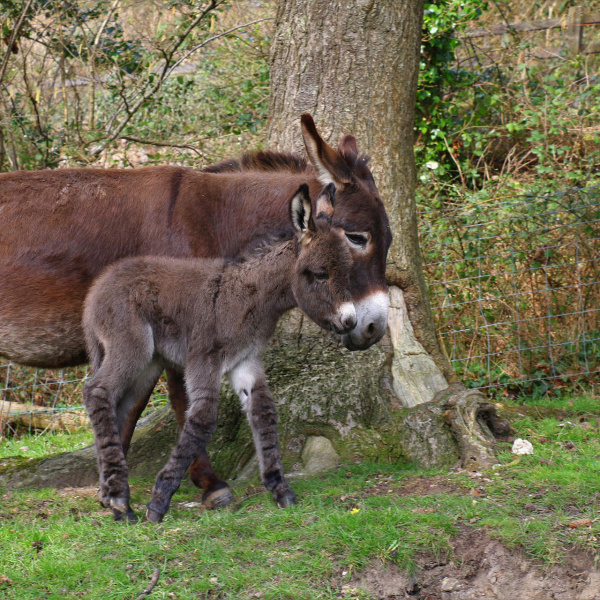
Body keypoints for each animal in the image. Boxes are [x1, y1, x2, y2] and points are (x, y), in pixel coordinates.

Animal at [83, 184, 356, 524]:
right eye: (319, 275)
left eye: (348, 271)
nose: (351, 321)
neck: (251, 298)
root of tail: (98, 288)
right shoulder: (204, 359)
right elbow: (201, 419)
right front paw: (159, 501)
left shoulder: (246, 361)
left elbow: (264, 414)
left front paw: (280, 490)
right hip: (130, 346)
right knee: (97, 391)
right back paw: (121, 500)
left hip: (147, 364)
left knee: (118, 406)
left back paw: (111, 495)